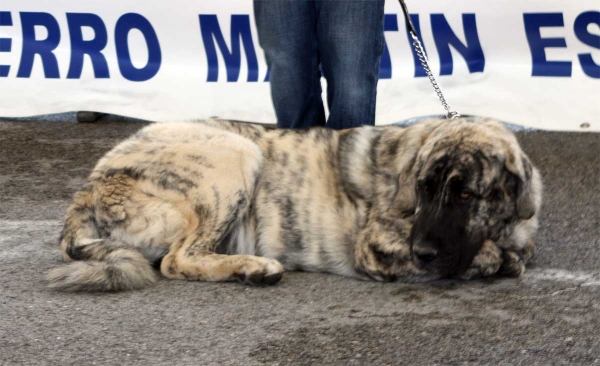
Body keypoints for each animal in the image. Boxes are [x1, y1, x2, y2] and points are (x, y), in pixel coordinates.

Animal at [47, 117, 540, 292]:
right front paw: (495, 259)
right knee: (178, 260)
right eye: (423, 189)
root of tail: (89, 187)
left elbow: (514, 253)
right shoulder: (377, 246)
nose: (422, 252)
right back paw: (253, 268)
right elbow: (492, 256)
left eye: (464, 194)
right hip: (236, 152)